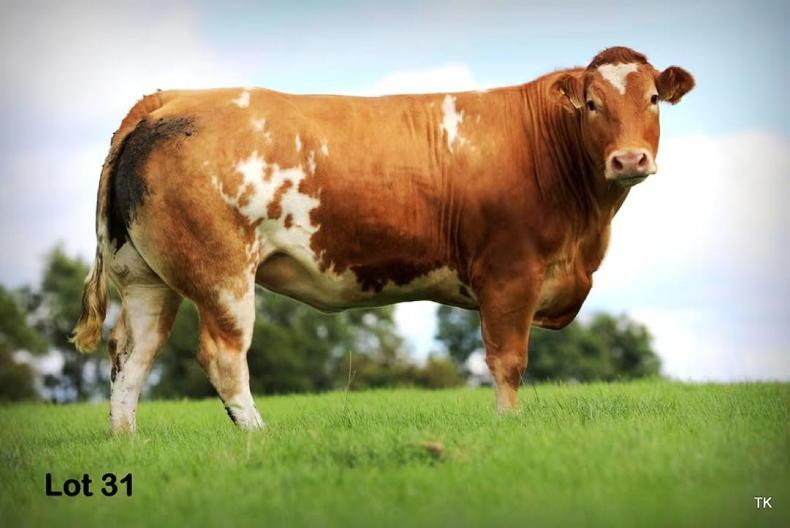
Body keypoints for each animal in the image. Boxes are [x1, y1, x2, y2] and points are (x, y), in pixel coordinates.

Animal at [72, 46, 694, 433]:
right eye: (592, 103)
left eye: (652, 100)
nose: (630, 159)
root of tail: (172, 97)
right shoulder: (509, 273)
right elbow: (507, 361)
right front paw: (509, 427)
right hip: (221, 272)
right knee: (223, 357)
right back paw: (260, 437)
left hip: (146, 277)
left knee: (131, 355)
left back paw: (127, 441)